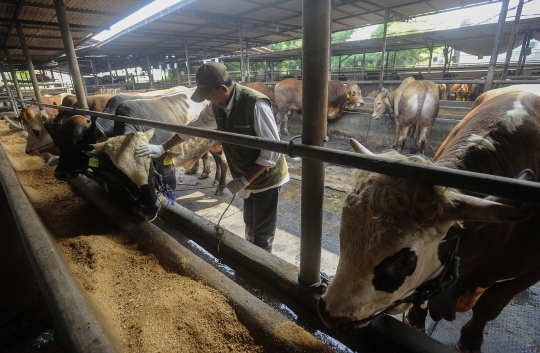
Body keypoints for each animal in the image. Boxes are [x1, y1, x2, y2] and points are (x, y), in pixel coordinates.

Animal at [52, 91, 226, 220]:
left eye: (78, 141)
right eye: (121, 174)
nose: (59, 173)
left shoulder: (168, 172)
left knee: (223, 161)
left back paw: (220, 187)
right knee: (216, 158)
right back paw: (213, 178)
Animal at [316, 90, 540, 352]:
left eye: (403, 262)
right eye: (344, 232)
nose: (328, 312)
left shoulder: (528, 273)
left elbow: (489, 307)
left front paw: (470, 342)